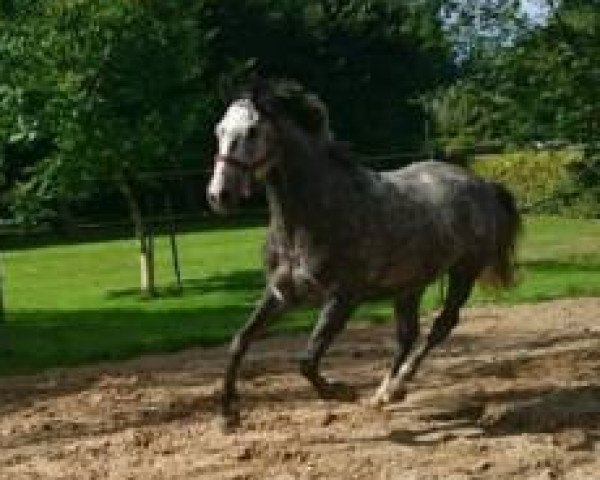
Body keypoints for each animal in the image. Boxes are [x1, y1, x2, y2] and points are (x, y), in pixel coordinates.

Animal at [206, 80, 520, 430]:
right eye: (219, 130)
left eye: (252, 131)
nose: (219, 196)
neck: (313, 216)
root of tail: (482, 184)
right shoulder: (281, 294)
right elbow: (240, 341)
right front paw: (227, 414)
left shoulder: (343, 298)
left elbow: (307, 361)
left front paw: (342, 392)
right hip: (410, 284)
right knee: (407, 335)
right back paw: (384, 394)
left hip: (464, 271)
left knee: (442, 325)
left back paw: (397, 387)